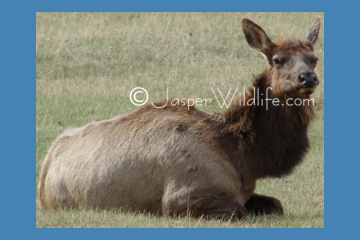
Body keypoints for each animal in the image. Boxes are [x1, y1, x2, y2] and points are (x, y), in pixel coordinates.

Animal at [38, 16, 320, 219]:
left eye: (314, 58)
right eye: (277, 59)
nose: (307, 78)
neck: (243, 159)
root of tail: (47, 162)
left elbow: (276, 203)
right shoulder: (180, 198)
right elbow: (239, 211)